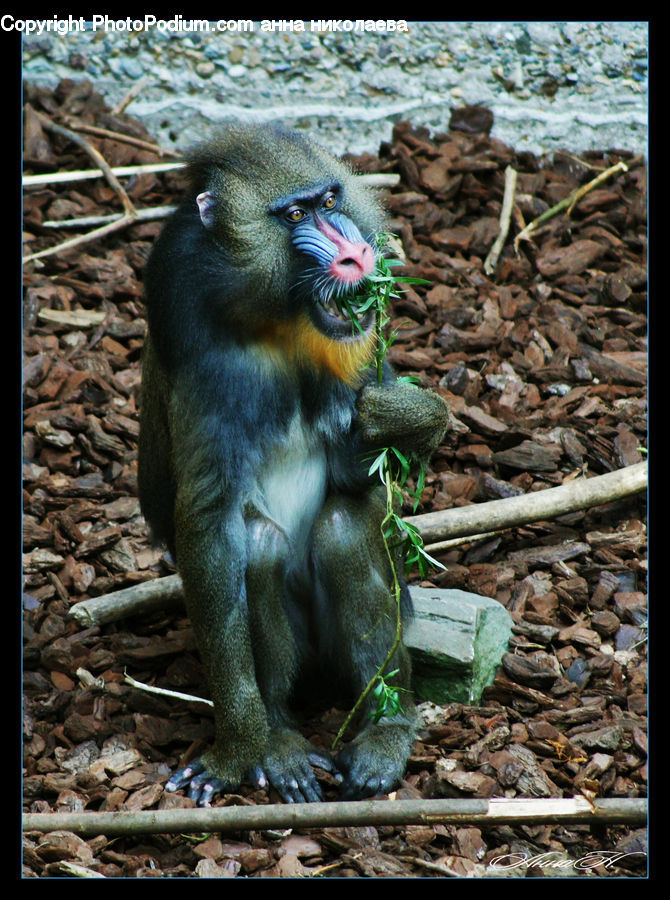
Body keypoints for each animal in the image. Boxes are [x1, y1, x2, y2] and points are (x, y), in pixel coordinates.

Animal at [138, 123, 452, 804]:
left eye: (330, 200)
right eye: (295, 216)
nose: (355, 255)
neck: (272, 316)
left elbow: (359, 470)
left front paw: (407, 415)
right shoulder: (201, 356)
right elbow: (208, 521)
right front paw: (238, 748)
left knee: (343, 529)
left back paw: (387, 729)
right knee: (258, 545)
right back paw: (279, 740)